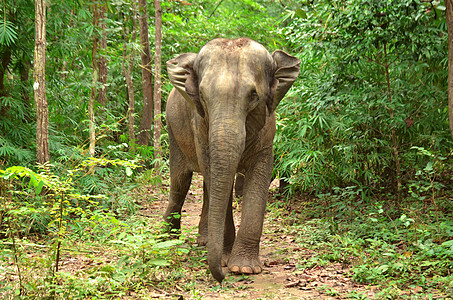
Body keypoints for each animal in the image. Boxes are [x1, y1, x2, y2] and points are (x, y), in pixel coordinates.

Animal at [163, 36, 300, 282]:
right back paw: (166, 240)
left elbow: (259, 176)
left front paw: (244, 268)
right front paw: (227, 260)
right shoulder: (200, 125)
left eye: (253, 96)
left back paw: (204, 241)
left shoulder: (268, 129)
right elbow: (212, 174)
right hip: (172, 129)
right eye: (203, 96)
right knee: (180, 183)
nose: (221, 277)